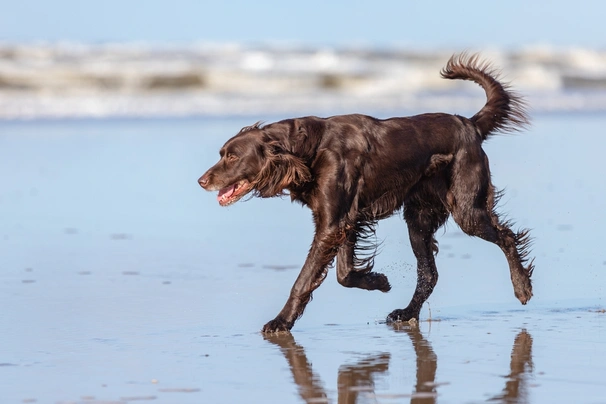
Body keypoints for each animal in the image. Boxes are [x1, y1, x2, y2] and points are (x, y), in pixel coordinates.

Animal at [198, 52, 532, 332]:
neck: (309, 149)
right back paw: (407, 313)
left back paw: (522, 287)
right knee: (429, 274)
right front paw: (377, 281)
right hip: (419, 218)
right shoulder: (346, 220)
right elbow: (344, 273)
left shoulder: (333, 223)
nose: (201, 181)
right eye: (222, 154)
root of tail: (470, 125)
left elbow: (305, 279)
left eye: (232, 157)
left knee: (506, 237)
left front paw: (281, 321)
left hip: (466, 209)